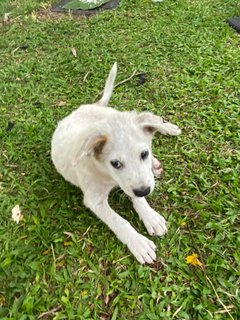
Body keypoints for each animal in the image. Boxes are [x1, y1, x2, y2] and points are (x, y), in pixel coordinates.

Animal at [52, 63, 180, 264]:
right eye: (116, 163)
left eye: (144, 153)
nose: (145, 191)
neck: (106, 173)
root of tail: (88, 107)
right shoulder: (95, 200)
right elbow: (119, 222)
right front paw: (139, 243)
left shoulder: (135, 183)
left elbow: (137, 199)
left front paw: (149, 216)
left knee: (146, 118)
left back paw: (166, 129)